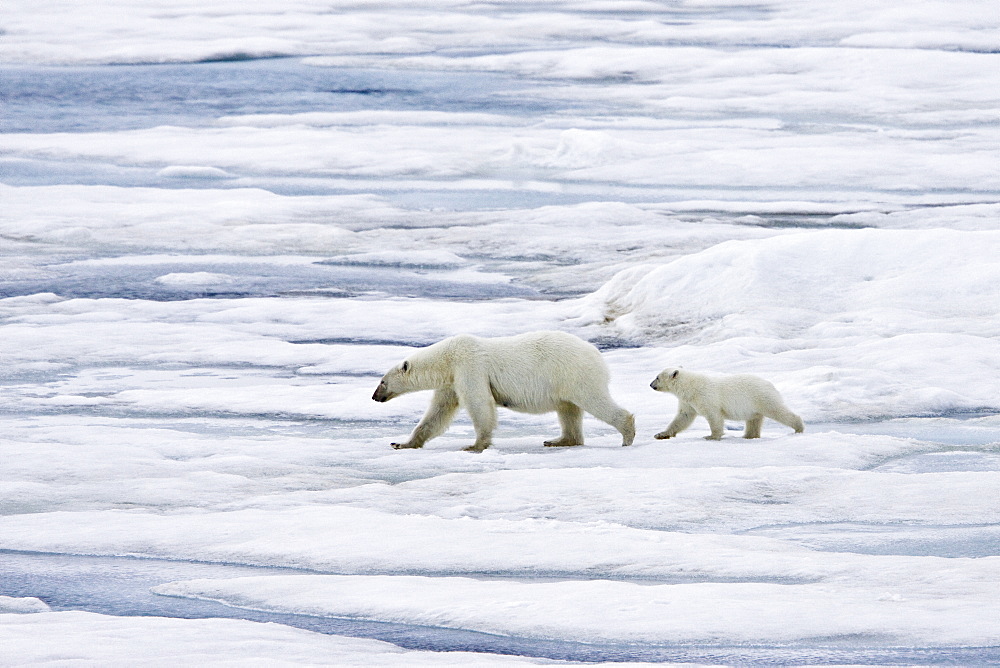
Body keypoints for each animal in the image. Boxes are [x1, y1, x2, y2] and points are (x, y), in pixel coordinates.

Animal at [372, 332, 636, 452]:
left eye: (382, 381)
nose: (374, 396)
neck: (447, 358)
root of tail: (597, 354)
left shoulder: (470, 367)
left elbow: (480, 404)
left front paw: (475, 446)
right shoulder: (451, 381)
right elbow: (438, 413)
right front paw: (401, 443)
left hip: (575, 373)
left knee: (594, 401)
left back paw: (627, 434)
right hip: (564, 381)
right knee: (568, 410)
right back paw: (559, 440)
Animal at [648, 368, 804, 440]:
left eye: (657, 377)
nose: (650, 384)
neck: (690, 387)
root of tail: (770, 384)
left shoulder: (705, 397)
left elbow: (714, 416)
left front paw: (711, 436)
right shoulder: (688, 402)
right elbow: (683, 417)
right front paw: (661, 434)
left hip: (761, 397)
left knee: (777, 410)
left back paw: (799, 427)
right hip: (753, 406)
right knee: (754, 420)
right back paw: (748, 436)